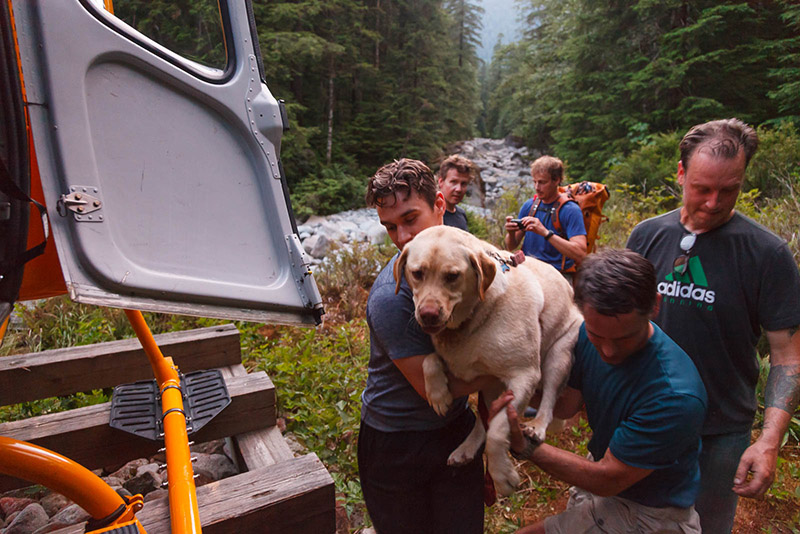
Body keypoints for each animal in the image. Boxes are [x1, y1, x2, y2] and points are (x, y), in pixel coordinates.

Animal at [396, 225, 580, 498]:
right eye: (417, 273)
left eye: (452, 276)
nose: (428, 315)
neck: (473, 318)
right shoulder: (462, 363)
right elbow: (430, 360)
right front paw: (438, 394)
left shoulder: (524, 375)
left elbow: (498, 430)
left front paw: (501, 475)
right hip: (492, 385)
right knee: (484, 419)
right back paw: (466, 448)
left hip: (558, 356)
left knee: (547, 400)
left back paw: (537, 426)